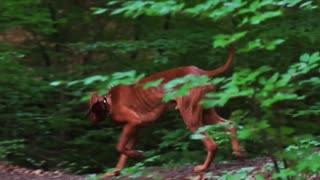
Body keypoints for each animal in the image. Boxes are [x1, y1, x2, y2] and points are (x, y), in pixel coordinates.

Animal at [86, 45, 244, 178]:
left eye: (90, 109)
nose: (90, 119)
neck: (108, 100)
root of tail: (202, 72)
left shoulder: (133, 122)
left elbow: (119, 147)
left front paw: (138, 155)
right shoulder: (135, 127)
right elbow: (124, 153)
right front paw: (116, 171)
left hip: (191, 118)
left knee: (212, 145)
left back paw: (203, 168)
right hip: (207, 114)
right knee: (230, 124)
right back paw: (238, 151)